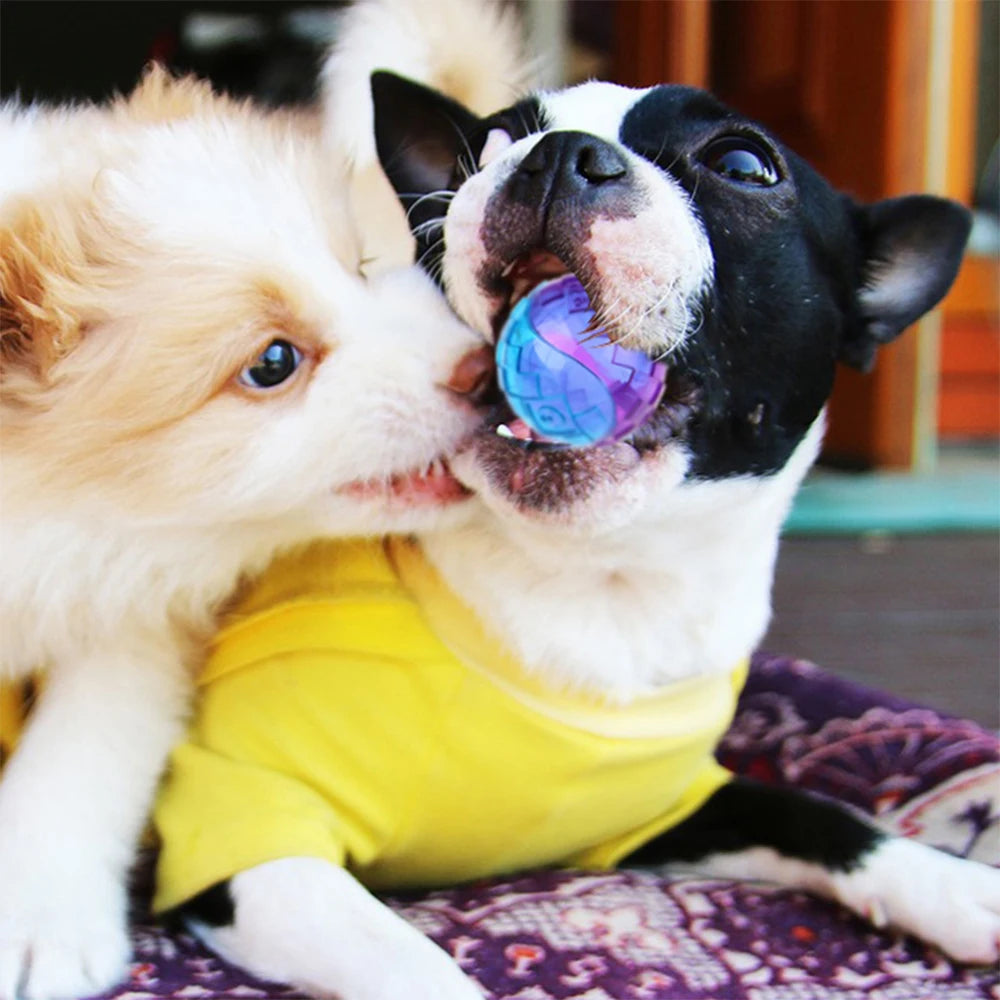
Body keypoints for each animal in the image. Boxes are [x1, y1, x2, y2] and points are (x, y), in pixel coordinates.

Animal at [0, 70, 484, 1000]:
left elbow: (85, 745)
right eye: (271, 363)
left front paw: (41, 922)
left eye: (361, 266)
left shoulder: (134, 600)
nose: (485, 371)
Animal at [180, 31, 1000, 1000]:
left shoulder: (667, 810)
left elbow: (814, 811)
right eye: (489, 146)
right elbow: (418, 966)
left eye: (743, 165)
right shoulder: (248, 832)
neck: (600, 578)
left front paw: (952, 884)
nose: (560, 156)